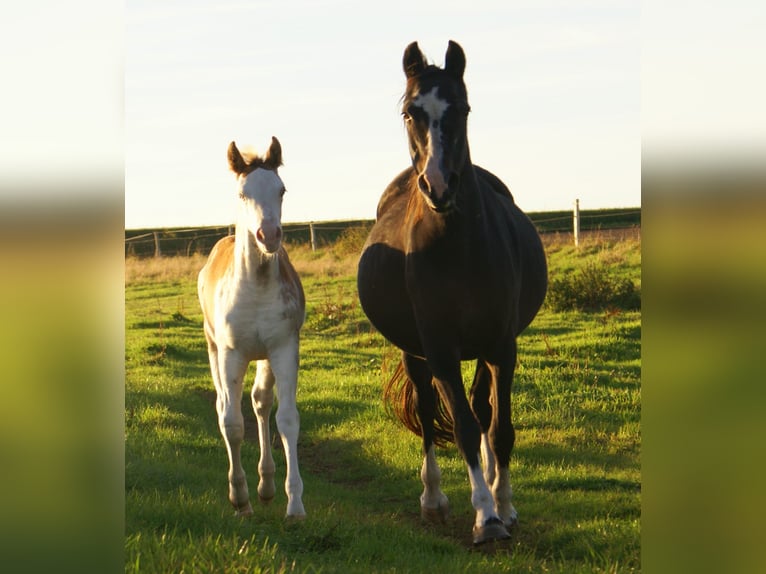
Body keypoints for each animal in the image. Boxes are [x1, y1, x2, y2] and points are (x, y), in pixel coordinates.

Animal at [198, 137, 306, 519]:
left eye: (281, 190)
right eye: (243, 193)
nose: (268, 235)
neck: (256, 286)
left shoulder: (284, 348)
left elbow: (286, 419)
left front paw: (295, 505)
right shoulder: (232, 353)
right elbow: (232, 423)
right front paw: (239, 499)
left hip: (264, 357)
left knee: (260, 402)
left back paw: (267, 485)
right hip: (214, 349)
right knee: (223, 407)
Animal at [357, 41, 548, 545]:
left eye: (462, 109)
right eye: (410, 112)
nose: (439, 186)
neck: (457, 247)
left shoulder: (501, 345)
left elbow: (498, 428)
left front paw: (504, 505)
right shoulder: (440, 350)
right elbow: (460, 426)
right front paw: (485, 517)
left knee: (483, 411)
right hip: (414, 352)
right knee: (428, 414)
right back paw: (434, 501)